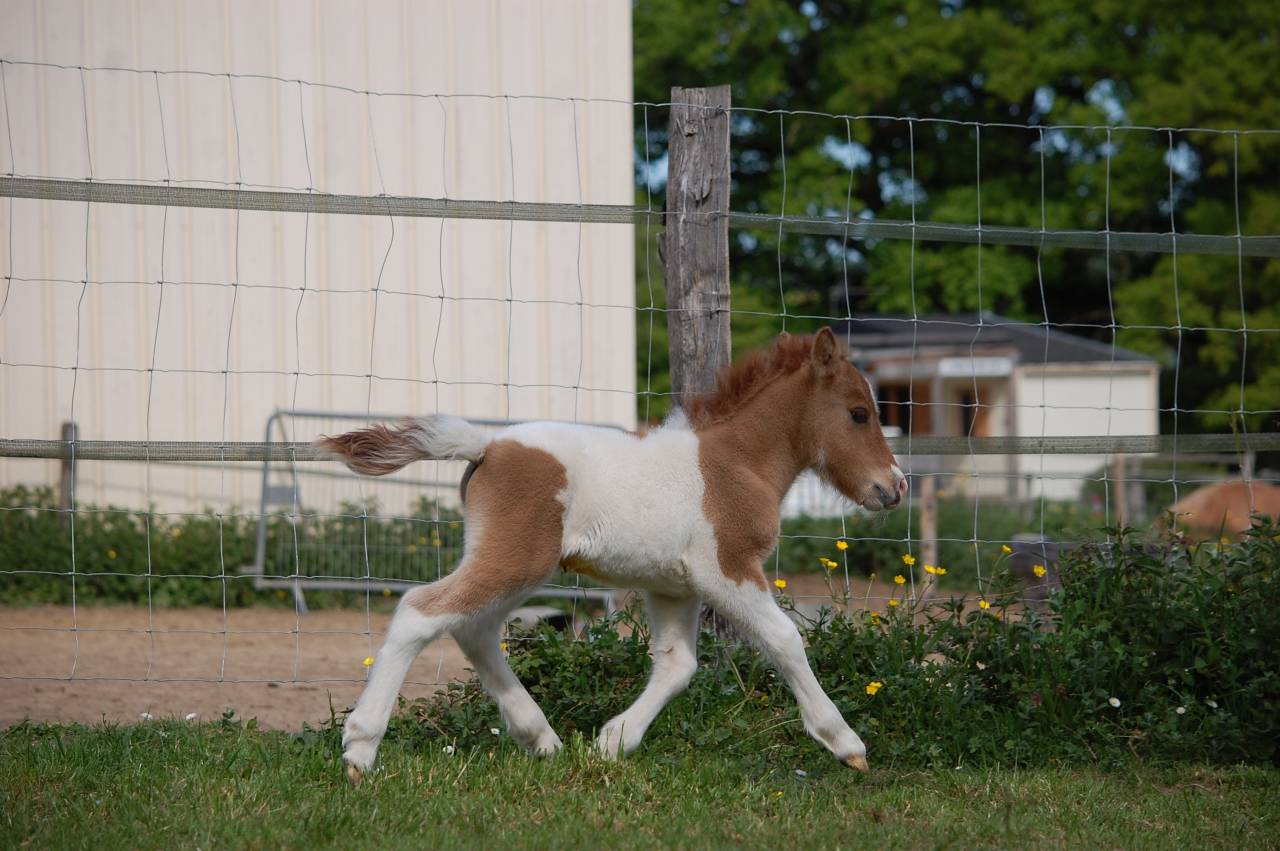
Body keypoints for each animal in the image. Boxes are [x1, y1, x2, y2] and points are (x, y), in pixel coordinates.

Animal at [317, 327, 907, 782]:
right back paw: (360, 749)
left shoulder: (674, 587)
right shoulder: (729, 569)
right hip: (516, 560)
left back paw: (541, 739)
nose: (895, 486)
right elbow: (784, 639)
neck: (737, 463)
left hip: (514, 565)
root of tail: (487, 446)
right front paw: (845, 743)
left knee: (474, 629)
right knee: (423, 611)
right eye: (858, 413)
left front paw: (613, 742)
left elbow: (678, 666)